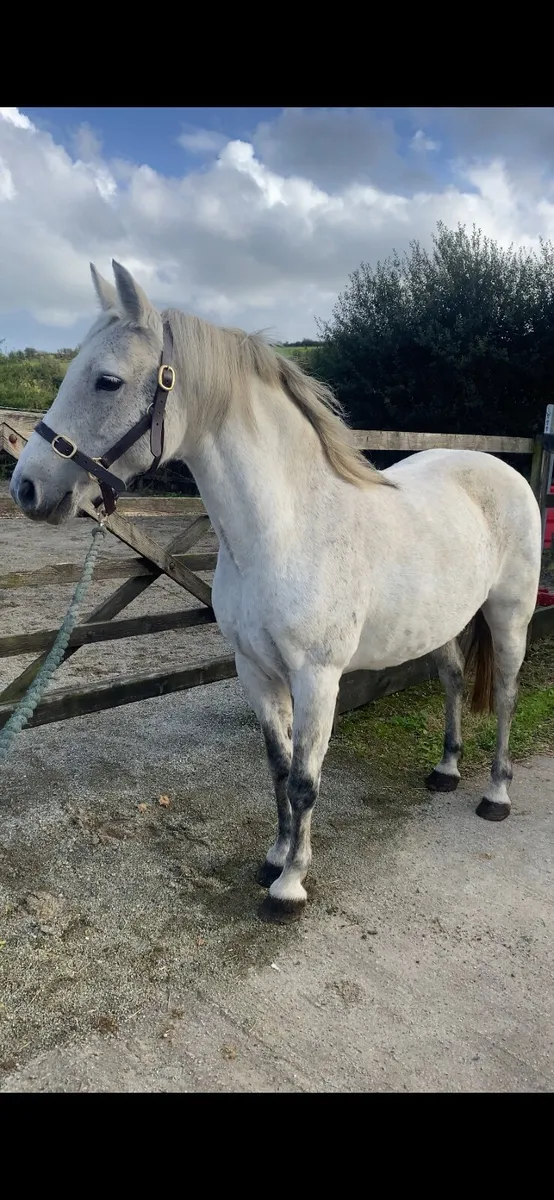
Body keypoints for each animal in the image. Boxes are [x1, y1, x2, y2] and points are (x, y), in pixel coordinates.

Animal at [10, 260, 542, 920]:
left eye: (108, 381)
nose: (26, 488)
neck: (286, 530)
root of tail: (502, 470)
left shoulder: (316, 678)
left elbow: (307, 780)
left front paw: (290, 886)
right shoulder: (255, 670)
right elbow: (278, 769)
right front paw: (274, 856)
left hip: (510, 616)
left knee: (506, 695)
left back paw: (495, 794)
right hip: (441, 623)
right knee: (452, 678)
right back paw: (445, 769)